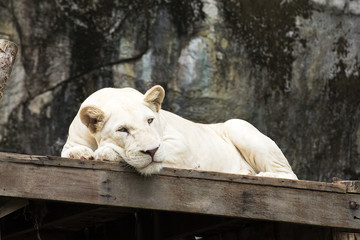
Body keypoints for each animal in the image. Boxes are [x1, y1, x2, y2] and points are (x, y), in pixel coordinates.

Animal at [61, 85, 298, 179]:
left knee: (289, 175)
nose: (152, 151)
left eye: (150, 121)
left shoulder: (183, 148)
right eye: (123, 130)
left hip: (236, 124)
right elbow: (69, 152)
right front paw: (82, 154)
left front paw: (105, 152)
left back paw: (255, 174)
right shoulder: (70, 142)